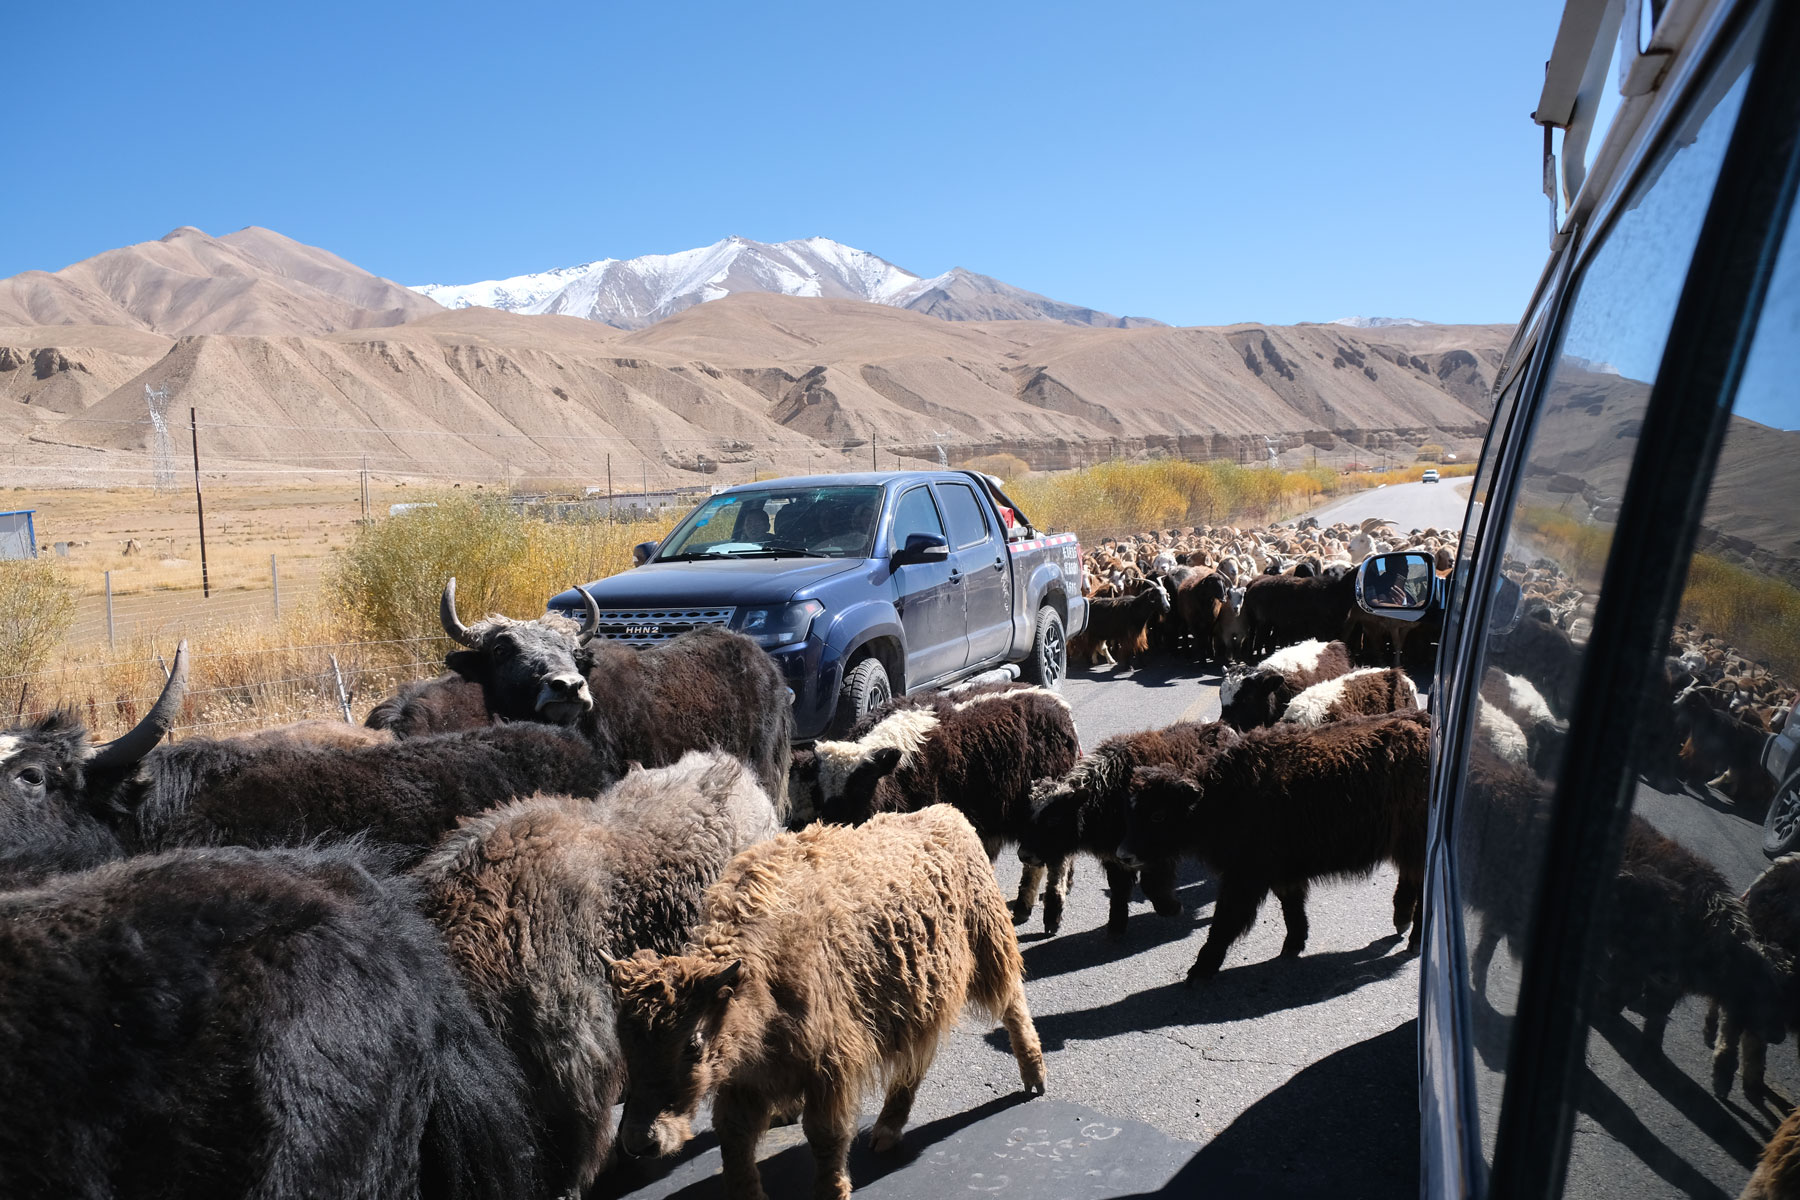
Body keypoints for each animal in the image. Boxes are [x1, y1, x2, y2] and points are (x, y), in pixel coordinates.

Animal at [604, 802, 1044, 1200]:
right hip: (921, 998)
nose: (640, 1141)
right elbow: (735, 1141)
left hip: (990, 949)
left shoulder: (829, 1068)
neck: (758, 980)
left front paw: (833, 1191)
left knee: (1013, 1005)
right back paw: (888, 1128)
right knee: (916, 1059)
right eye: (624, 1043)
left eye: (692, 1044)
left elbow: (825, 1136)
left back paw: (1034, 1077)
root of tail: (950, 814)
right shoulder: (744, 1080)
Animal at [1116, 708, 1425, 978]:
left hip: (1416, 846)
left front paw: (1200, 970)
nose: (1123, 855)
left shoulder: (1245, 877)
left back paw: (1415, 939)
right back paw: (1401, 921)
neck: (1222, 796)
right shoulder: (1282, 874)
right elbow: (1291, 908)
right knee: (1410, 880)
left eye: (1158, 815)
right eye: (1131, 811)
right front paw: (1293, 945)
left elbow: (1225, 921)